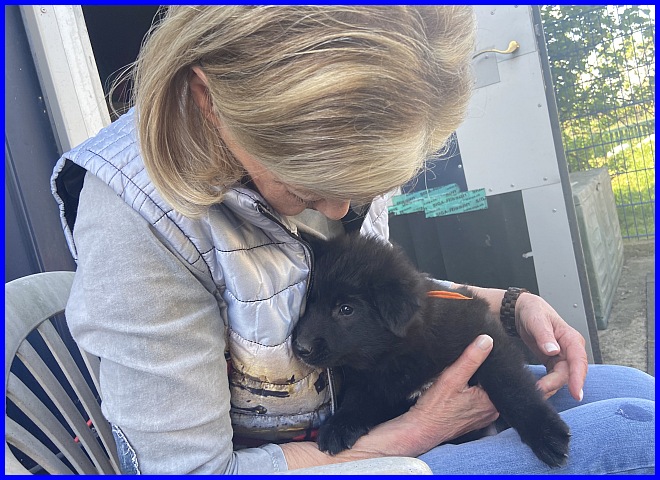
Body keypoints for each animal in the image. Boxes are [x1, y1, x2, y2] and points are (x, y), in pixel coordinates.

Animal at [292, 233, 570, 467]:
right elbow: (359, 399)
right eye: (309, 304)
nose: (300, 347)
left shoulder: (487, 340)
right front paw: (339, 425)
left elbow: (511, 387)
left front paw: (547, 434)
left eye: (346, 309)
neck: (395, 354)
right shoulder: (370, 380)